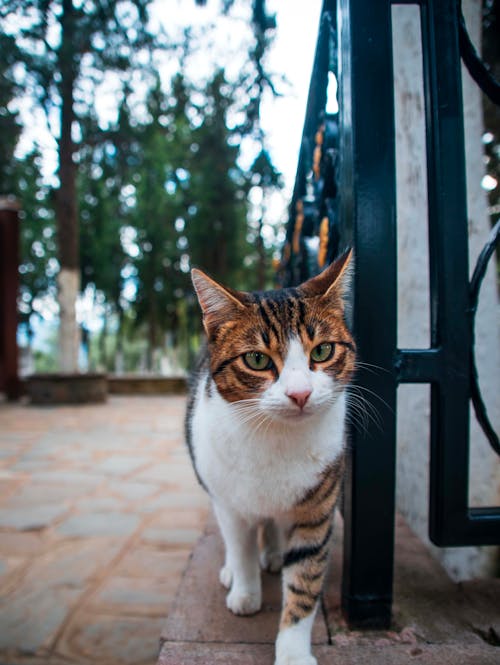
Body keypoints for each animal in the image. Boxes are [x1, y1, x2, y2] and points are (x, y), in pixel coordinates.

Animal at [185, 250, 356, 664]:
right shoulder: (230, 501)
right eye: (257, 360)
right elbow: (240, 545)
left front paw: (292, 651)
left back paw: (276, 553)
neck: (276, 437)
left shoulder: (318, 506)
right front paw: (245, 592)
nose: (300, 394)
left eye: (322, 351)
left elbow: (304, 582)